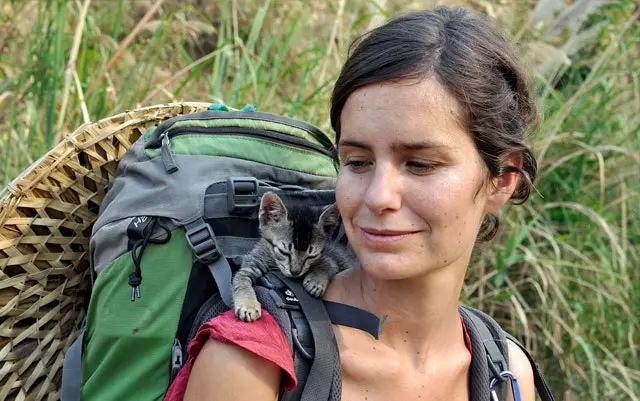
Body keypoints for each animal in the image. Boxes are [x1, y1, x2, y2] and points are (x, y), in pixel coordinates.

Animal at [231, 191, 350, 322]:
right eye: (284, 252)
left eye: (311, 256)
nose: (295, 272)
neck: (273, 260)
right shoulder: (252, 262)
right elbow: (241, 279)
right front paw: (248, 305)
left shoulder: (330, 257)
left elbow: (328, 263)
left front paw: (316, 280)